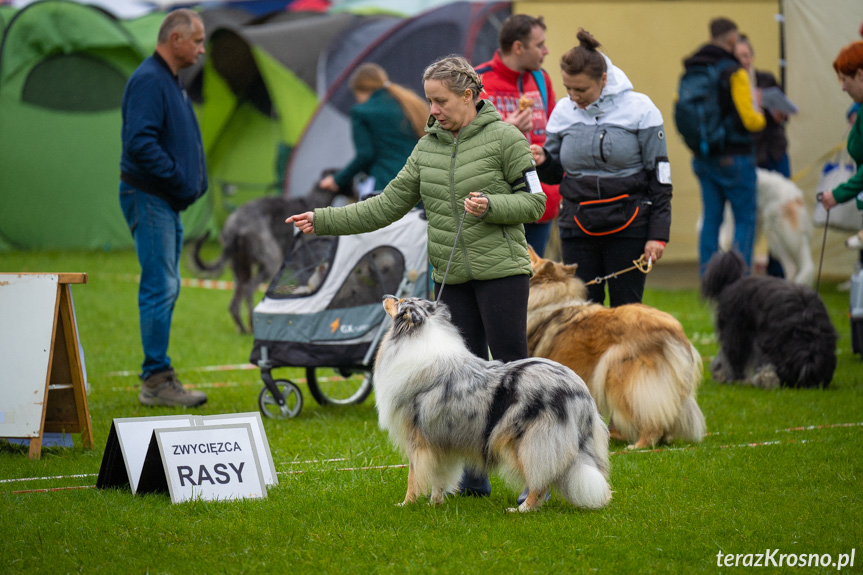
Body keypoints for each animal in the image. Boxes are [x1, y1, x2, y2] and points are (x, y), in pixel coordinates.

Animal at [704, 250, 836, 390]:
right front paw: (767, 378)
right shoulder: (770, 342)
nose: (800, 385)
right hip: (736, 332)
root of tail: (733, 283)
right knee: (733, 355)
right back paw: (735, 378)